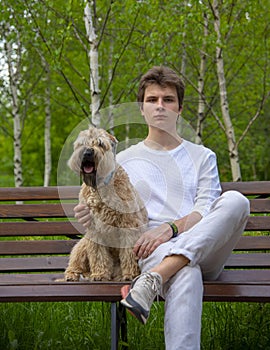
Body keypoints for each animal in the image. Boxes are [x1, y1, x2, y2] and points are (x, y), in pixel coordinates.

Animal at [64, 126, 149, 282]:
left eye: (100, 143)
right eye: (82, 143)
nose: (87, 152)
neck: (99, 187)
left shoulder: (128, 225)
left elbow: (128, 253)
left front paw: (129, 274)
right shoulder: (94, 229)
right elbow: (98, 254)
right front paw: (100, 274)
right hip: (82, 245)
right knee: (76, 261)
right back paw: (73, 274)